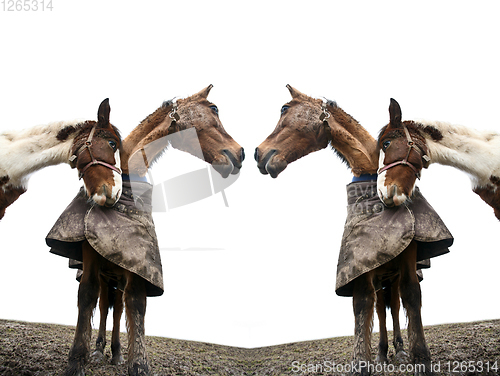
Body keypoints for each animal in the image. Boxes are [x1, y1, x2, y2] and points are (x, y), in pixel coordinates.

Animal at [59, 86, 243, 376]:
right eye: (214, 109)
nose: (241, 153)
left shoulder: (137, 264)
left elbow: (136, 304)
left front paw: (138, 364)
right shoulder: (91, 259)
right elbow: (87, 295)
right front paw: (77, 361)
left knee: (118, 308)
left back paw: (116, 353)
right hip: (108, 276)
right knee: (105, 306)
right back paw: (99, 351)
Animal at [256, 86, 448, 376]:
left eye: (284, 109)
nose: (259, 153)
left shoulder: (406, 257)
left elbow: (411, 296)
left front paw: (420, 360)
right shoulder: (361, 265)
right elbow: (363, 305)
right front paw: (363, 363)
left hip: (390, 276)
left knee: (393, 306)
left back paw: (399, 350)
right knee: (380, 309)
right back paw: (382, 353)